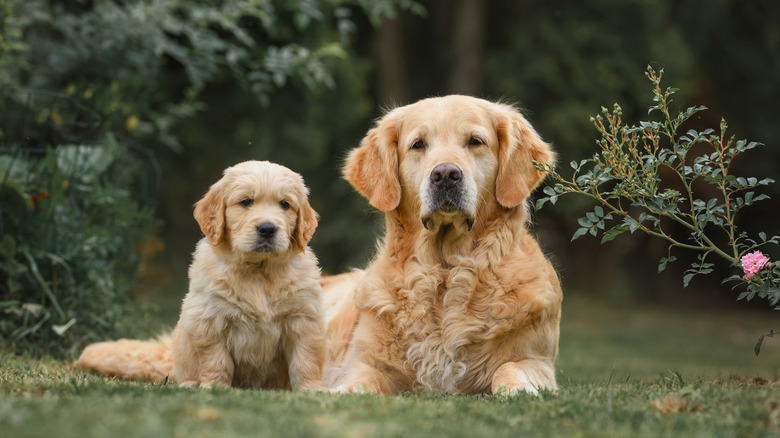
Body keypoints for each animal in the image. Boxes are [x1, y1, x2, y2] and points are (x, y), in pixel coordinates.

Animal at [74, 162, 324, 390]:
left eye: (285, 204)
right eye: (246, 202)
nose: (267, 229)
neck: (258, 271)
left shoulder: (305, 319)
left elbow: (306, 361)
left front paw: (311, 390)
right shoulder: (209, 320)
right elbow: (217, 361)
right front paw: (214, 388)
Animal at [322, 94, 560, 396]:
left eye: (475, 141)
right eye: (418, 144)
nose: (446, 175)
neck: (445, 270)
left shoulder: (537, 360)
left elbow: (508, 367)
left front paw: (518, 389)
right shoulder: (365, 363)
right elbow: (362, 382)